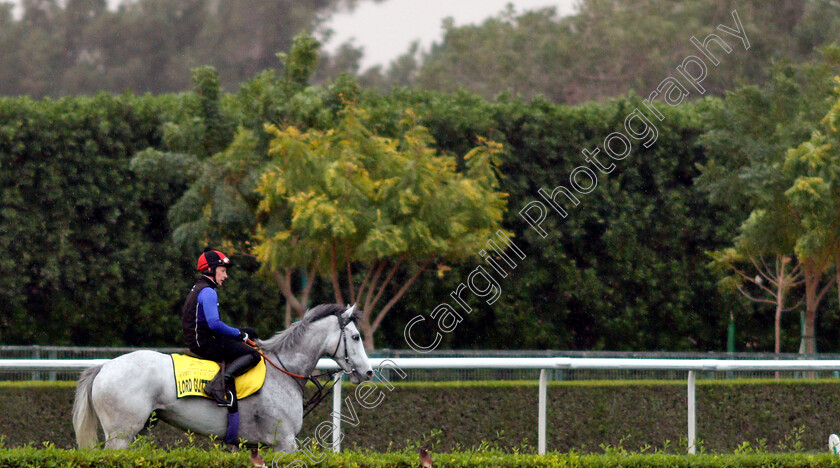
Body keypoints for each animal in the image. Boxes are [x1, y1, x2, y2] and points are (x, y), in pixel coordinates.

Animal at [70, 302, 372, 458]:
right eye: (356, 337)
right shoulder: (285, 442)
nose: (368, 372)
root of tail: (105, 366)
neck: (283, 370)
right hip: (120, 436)